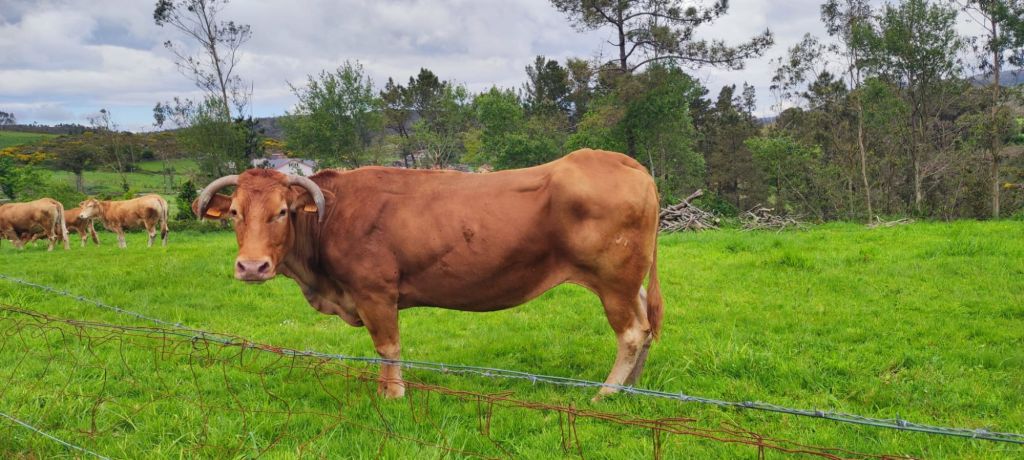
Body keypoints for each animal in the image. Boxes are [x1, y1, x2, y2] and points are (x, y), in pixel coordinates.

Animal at [195, 149, 663, 400]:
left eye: (282, 212)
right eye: (234, 213)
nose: (251, 266)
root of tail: (618, 159)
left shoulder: (375, 292)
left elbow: (388, 347)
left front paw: (392, 394)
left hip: (613, 280)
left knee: (631, 332)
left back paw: (607, 392)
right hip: (628, 281)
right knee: (645, 324)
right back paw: (634, 387)